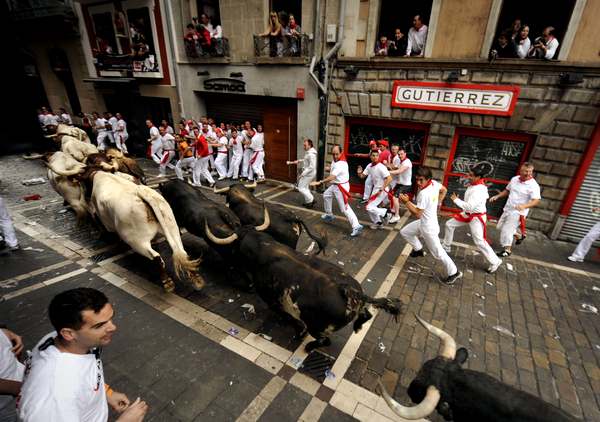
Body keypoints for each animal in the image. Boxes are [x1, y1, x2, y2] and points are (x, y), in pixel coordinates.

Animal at [206, 227, 404, 352]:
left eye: (234, 245)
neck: (263, 248)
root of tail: (352, 292)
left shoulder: (273, 301)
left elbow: (288, 317)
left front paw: (298, 333)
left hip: (317, 327)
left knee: (325, 340)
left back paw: (309, 347)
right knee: (366, 314)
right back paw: (357, 326)